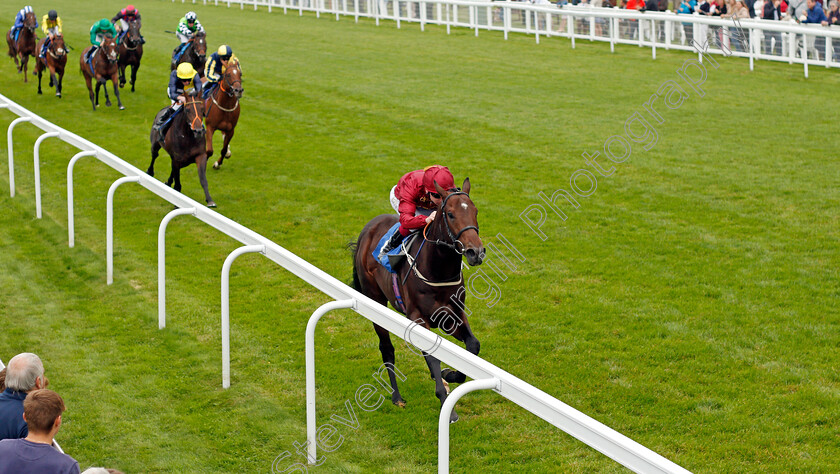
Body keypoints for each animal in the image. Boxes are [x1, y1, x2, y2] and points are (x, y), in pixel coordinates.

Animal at [352, 180, 486, 424]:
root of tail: (369, 227)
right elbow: (432, 356)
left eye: (475, 211)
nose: (476, 252)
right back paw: (397, 397)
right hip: (375, 300)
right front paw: (448, 407)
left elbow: (472, 346)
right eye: (450, 214)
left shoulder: (451, 316)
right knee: (387, 349)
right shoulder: (418, 318)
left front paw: (448, 374)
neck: (438, 270)